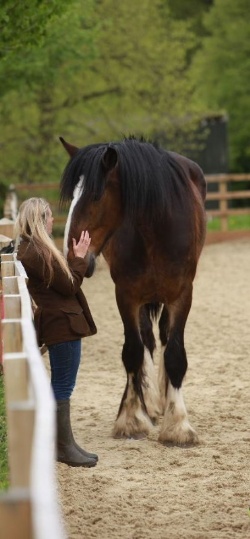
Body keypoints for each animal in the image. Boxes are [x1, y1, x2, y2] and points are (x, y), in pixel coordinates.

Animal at [59, 136, 207, 448]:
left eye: (95, 196)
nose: (72, 258)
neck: (158, 229)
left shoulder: (182, 296)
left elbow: (175, 354)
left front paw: (178, 427)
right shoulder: (126, 296)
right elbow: (133, 352)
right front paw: (131, 419)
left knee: (163, 338)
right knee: (146, 342)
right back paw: (148, 402)